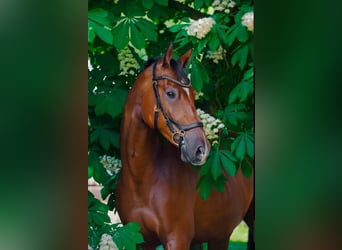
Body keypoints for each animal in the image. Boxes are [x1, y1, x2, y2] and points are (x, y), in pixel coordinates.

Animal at [116, 44, 252, 249]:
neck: (141, 177)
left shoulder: (177, 238)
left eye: (193, 94)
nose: (201, 149)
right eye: (171, 93)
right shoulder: (138, 239)